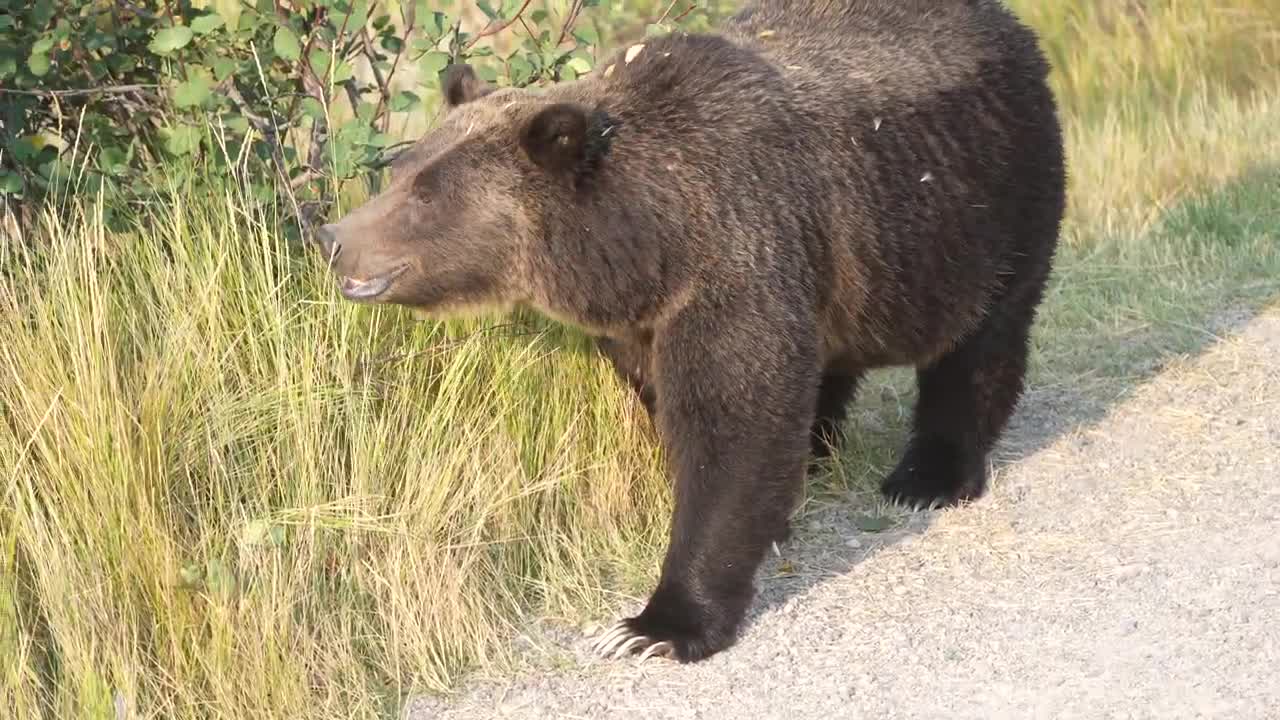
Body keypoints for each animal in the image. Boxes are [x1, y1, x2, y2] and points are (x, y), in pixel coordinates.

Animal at [314, 0, 1064, 661]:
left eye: (426, 195)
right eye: (401, 169)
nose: (333, 238)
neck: (650, 239)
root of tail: (1008, 23)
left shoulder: (737, 256)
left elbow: (731, 425)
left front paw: (655, 626)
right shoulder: (651, 315)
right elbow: (690, 403)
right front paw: (770, 519)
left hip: (985, 203)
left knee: (979, 344)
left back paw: (928, 475)